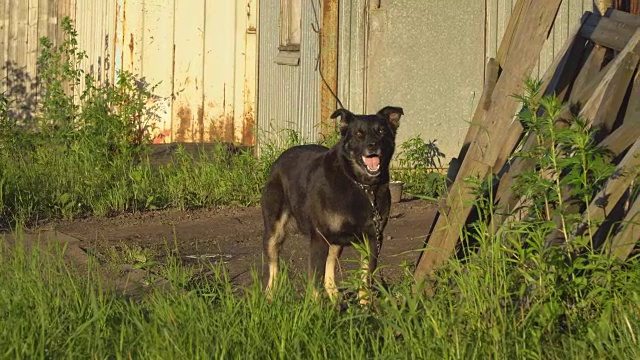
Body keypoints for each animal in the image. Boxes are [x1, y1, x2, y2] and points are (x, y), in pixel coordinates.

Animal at [258, 105, 400, 300]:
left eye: (381, 131)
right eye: (359, 134)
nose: (373, 145)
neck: (361, 185)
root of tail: (279, 159)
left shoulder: (373, 238)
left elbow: (366, 278)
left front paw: (365, 306)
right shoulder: (320, 237)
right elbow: (315, 280)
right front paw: (315, 306)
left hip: (335, 242)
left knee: (330, 270)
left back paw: (334, 297)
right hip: (274, 231)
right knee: (274, 267)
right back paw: (270, 296)